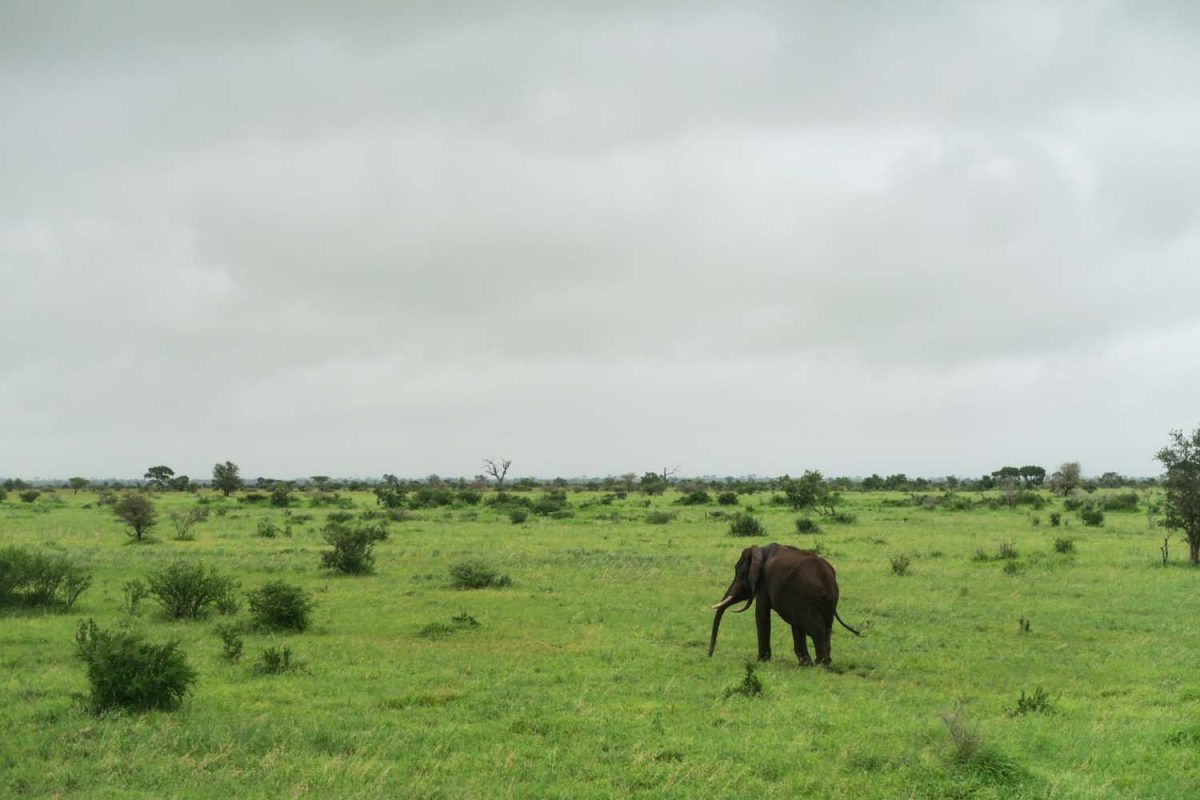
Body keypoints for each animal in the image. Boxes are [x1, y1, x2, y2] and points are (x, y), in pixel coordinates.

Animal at [705, 542, 859, 666]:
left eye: (739, 573)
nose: (709, 655)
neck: (761, 550)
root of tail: (829, 581)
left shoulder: (764, 583)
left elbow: (761, 614)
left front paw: (761, 661)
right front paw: (804, 664)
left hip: (811, 598)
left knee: (816, 628)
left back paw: (821, 664)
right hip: (827, 603)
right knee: (824, 627)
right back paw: (818, 663)